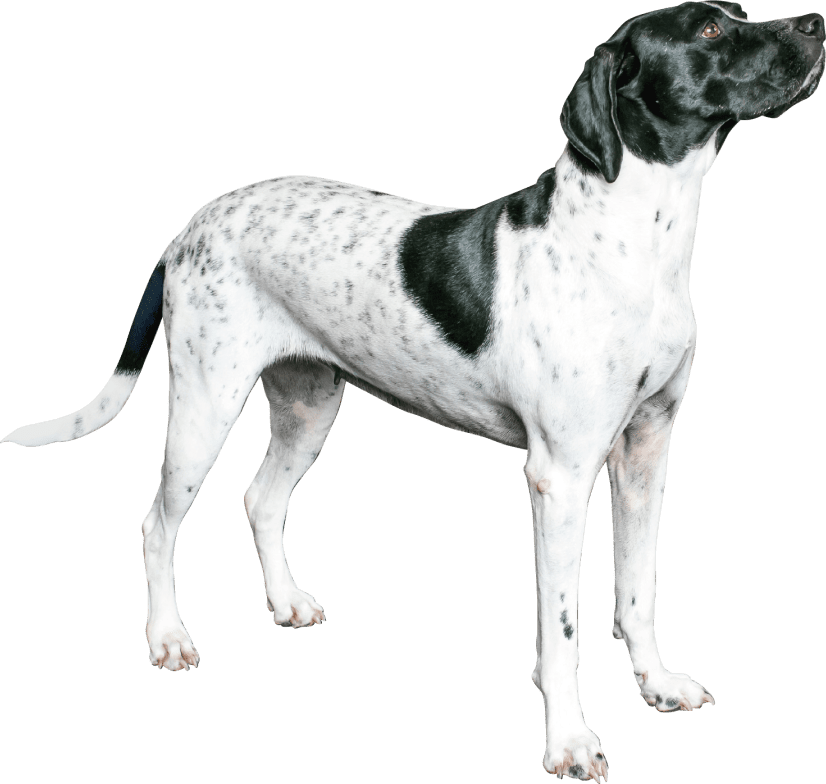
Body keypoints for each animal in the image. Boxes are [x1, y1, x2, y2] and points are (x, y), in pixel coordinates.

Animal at [3, 2, 823, 780]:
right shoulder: (560, 477)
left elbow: (637, 590)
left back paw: (284, 601)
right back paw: (167, 638)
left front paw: (657, 684)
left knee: (261, 500)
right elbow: (560, 630)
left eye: (736, 11)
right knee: (157, 526)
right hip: (204, 410)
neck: (630, 237)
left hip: (308, 405)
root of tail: (186, 230)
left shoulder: (646, 453)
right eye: (709, 29)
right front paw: (569, 741)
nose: (815, 23)